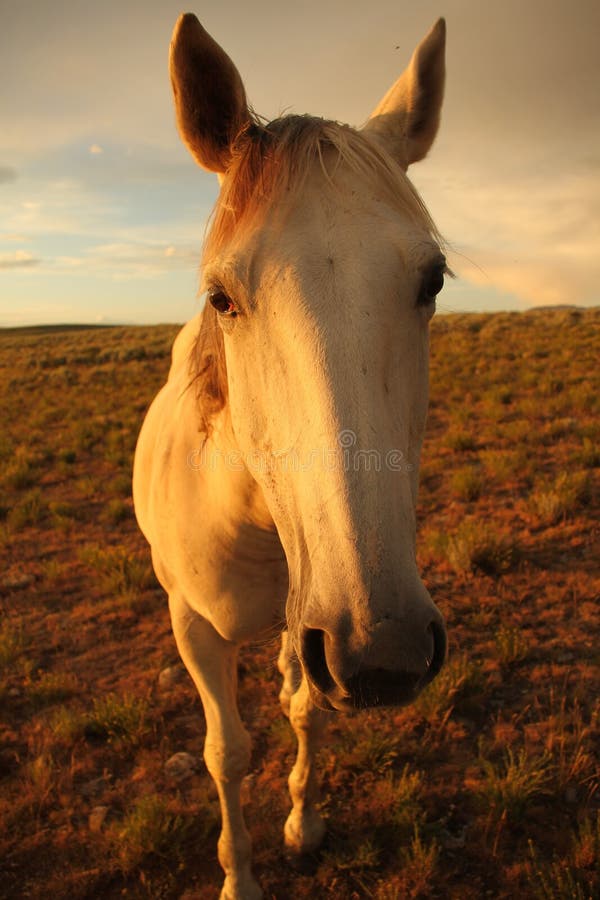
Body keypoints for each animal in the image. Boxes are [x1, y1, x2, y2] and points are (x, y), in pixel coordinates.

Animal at [133, 12, 448, 899]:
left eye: (433, 280)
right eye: (221, 297)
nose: (384, 654)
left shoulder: (315, 624)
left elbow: (306, 709)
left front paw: (304, 824)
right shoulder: (192, 626)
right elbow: (226, 753)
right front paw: (239, 877)